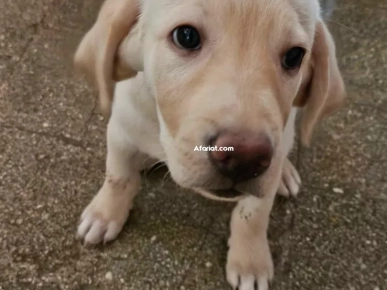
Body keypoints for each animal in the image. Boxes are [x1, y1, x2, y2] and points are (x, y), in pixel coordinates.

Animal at [73, 0, 346, 288]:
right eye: (186, 36)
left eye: (294, 57)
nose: (245, 159)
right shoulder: (120, 130)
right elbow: (118, 178)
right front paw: (104, 215)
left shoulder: (272, 161)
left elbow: (253, 215)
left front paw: (250, 261)